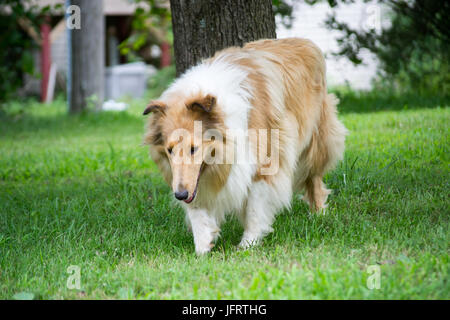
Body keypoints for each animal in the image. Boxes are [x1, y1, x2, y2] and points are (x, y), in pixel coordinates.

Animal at [144, 38, 348, 255]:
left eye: (193, 148)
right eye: (169, 150)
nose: (180, 195)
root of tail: (304, 40)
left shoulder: (264, 162)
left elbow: (254, 208)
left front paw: (248, 244)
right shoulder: (193, 181)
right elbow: (197, 208)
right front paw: (202, 245)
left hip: (316, 142)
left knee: (314, 178)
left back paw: (319, 214)